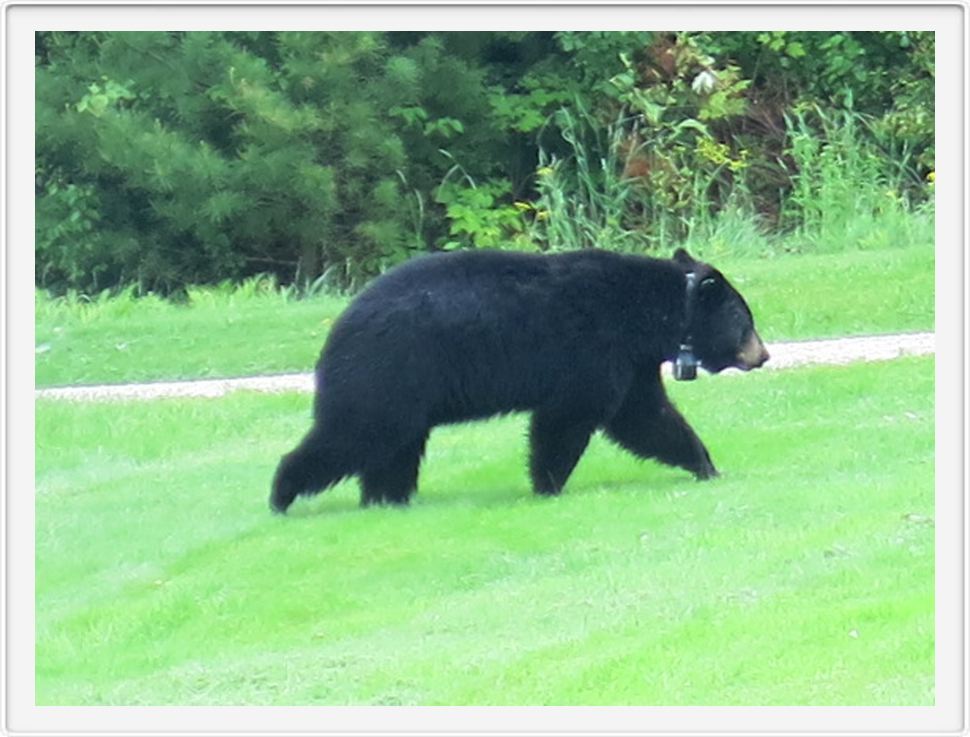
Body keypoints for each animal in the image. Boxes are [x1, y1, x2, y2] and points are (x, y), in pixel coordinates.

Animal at [268, 247, 768, 512]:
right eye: (746, 321)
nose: (762, 355)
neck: (644, 314)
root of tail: (340, 326)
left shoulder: (630, 363)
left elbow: (646, 416)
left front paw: (705, 463)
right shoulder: (593, 350)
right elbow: (571, 418)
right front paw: (548, 484)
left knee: (393, 448)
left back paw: (388, 498)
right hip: (388, 374)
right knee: (355, 434)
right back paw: (283, 492)